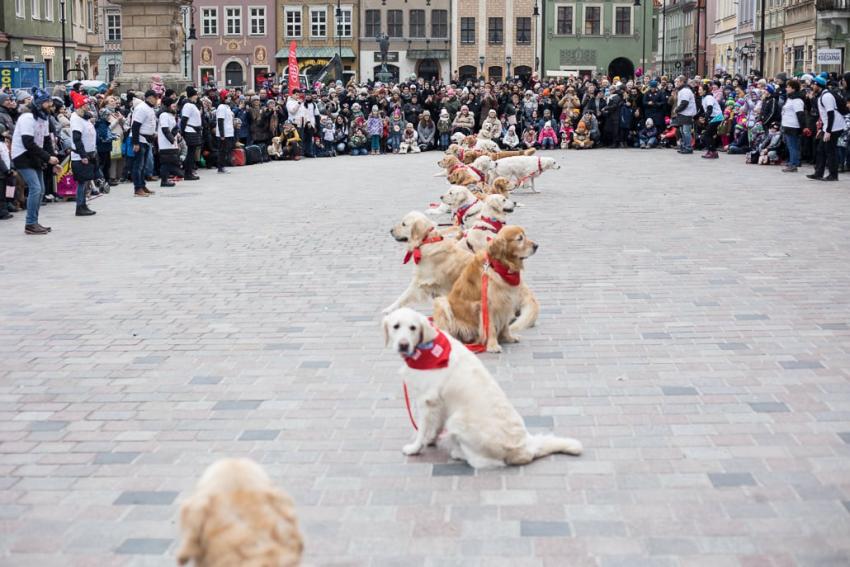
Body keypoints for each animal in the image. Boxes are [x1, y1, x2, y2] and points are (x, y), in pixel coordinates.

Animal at [380, 308, 580, 468]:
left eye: (413, 328)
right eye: (396, 326)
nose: (403, 345)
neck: (426, 349)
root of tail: (525, 447)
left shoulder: (427, 400)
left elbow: (421, 429)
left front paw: (415, 447)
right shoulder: (439, 403)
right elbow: (434, 426)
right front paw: (430, 440)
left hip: (457, 419)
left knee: (483, 461)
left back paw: (459, 453)